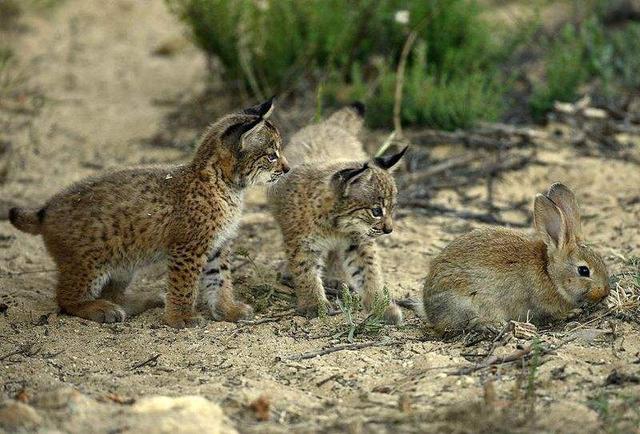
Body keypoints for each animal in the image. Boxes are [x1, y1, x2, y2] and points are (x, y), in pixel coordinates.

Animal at [422, 181, 612, 334]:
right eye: (583, 270)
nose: (605, 292)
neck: (550, 273)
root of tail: (429, 310)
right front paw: (571, 312)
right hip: (465, 304)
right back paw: (490, 325)